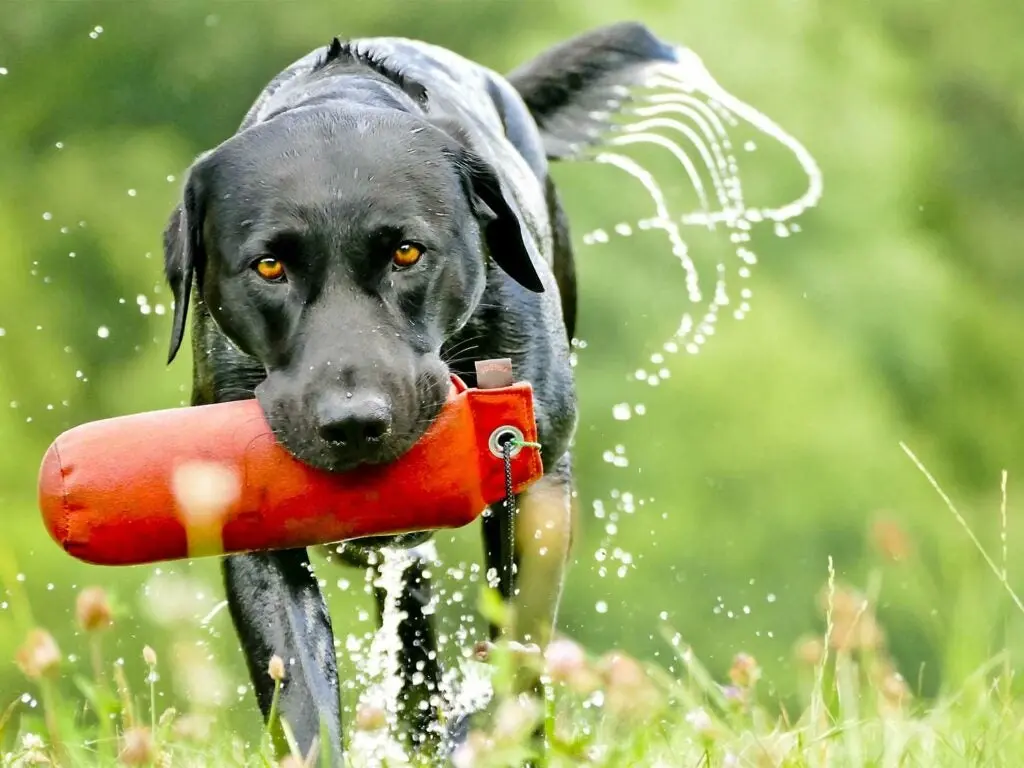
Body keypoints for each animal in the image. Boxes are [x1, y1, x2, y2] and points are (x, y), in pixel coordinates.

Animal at [161, 20, 679, 765]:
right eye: (269, 267)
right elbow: (300, 693)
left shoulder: (538, 486)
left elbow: (517, 646)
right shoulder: (253, 534)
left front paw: (487, 732)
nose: (353, 423)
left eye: (407, 253)